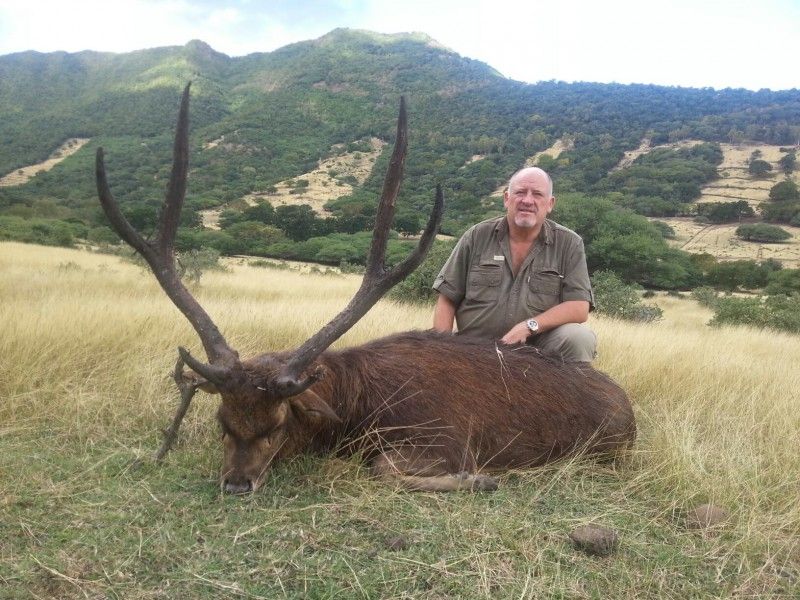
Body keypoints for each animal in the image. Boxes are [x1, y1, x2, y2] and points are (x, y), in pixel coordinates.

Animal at [96, 84, 636, 494]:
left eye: (277, 424)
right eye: (222, 423)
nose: (236, 484)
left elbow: (384, 469)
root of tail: (630, 411)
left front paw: (480, 479)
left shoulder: (445, 439)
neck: (358, 410)